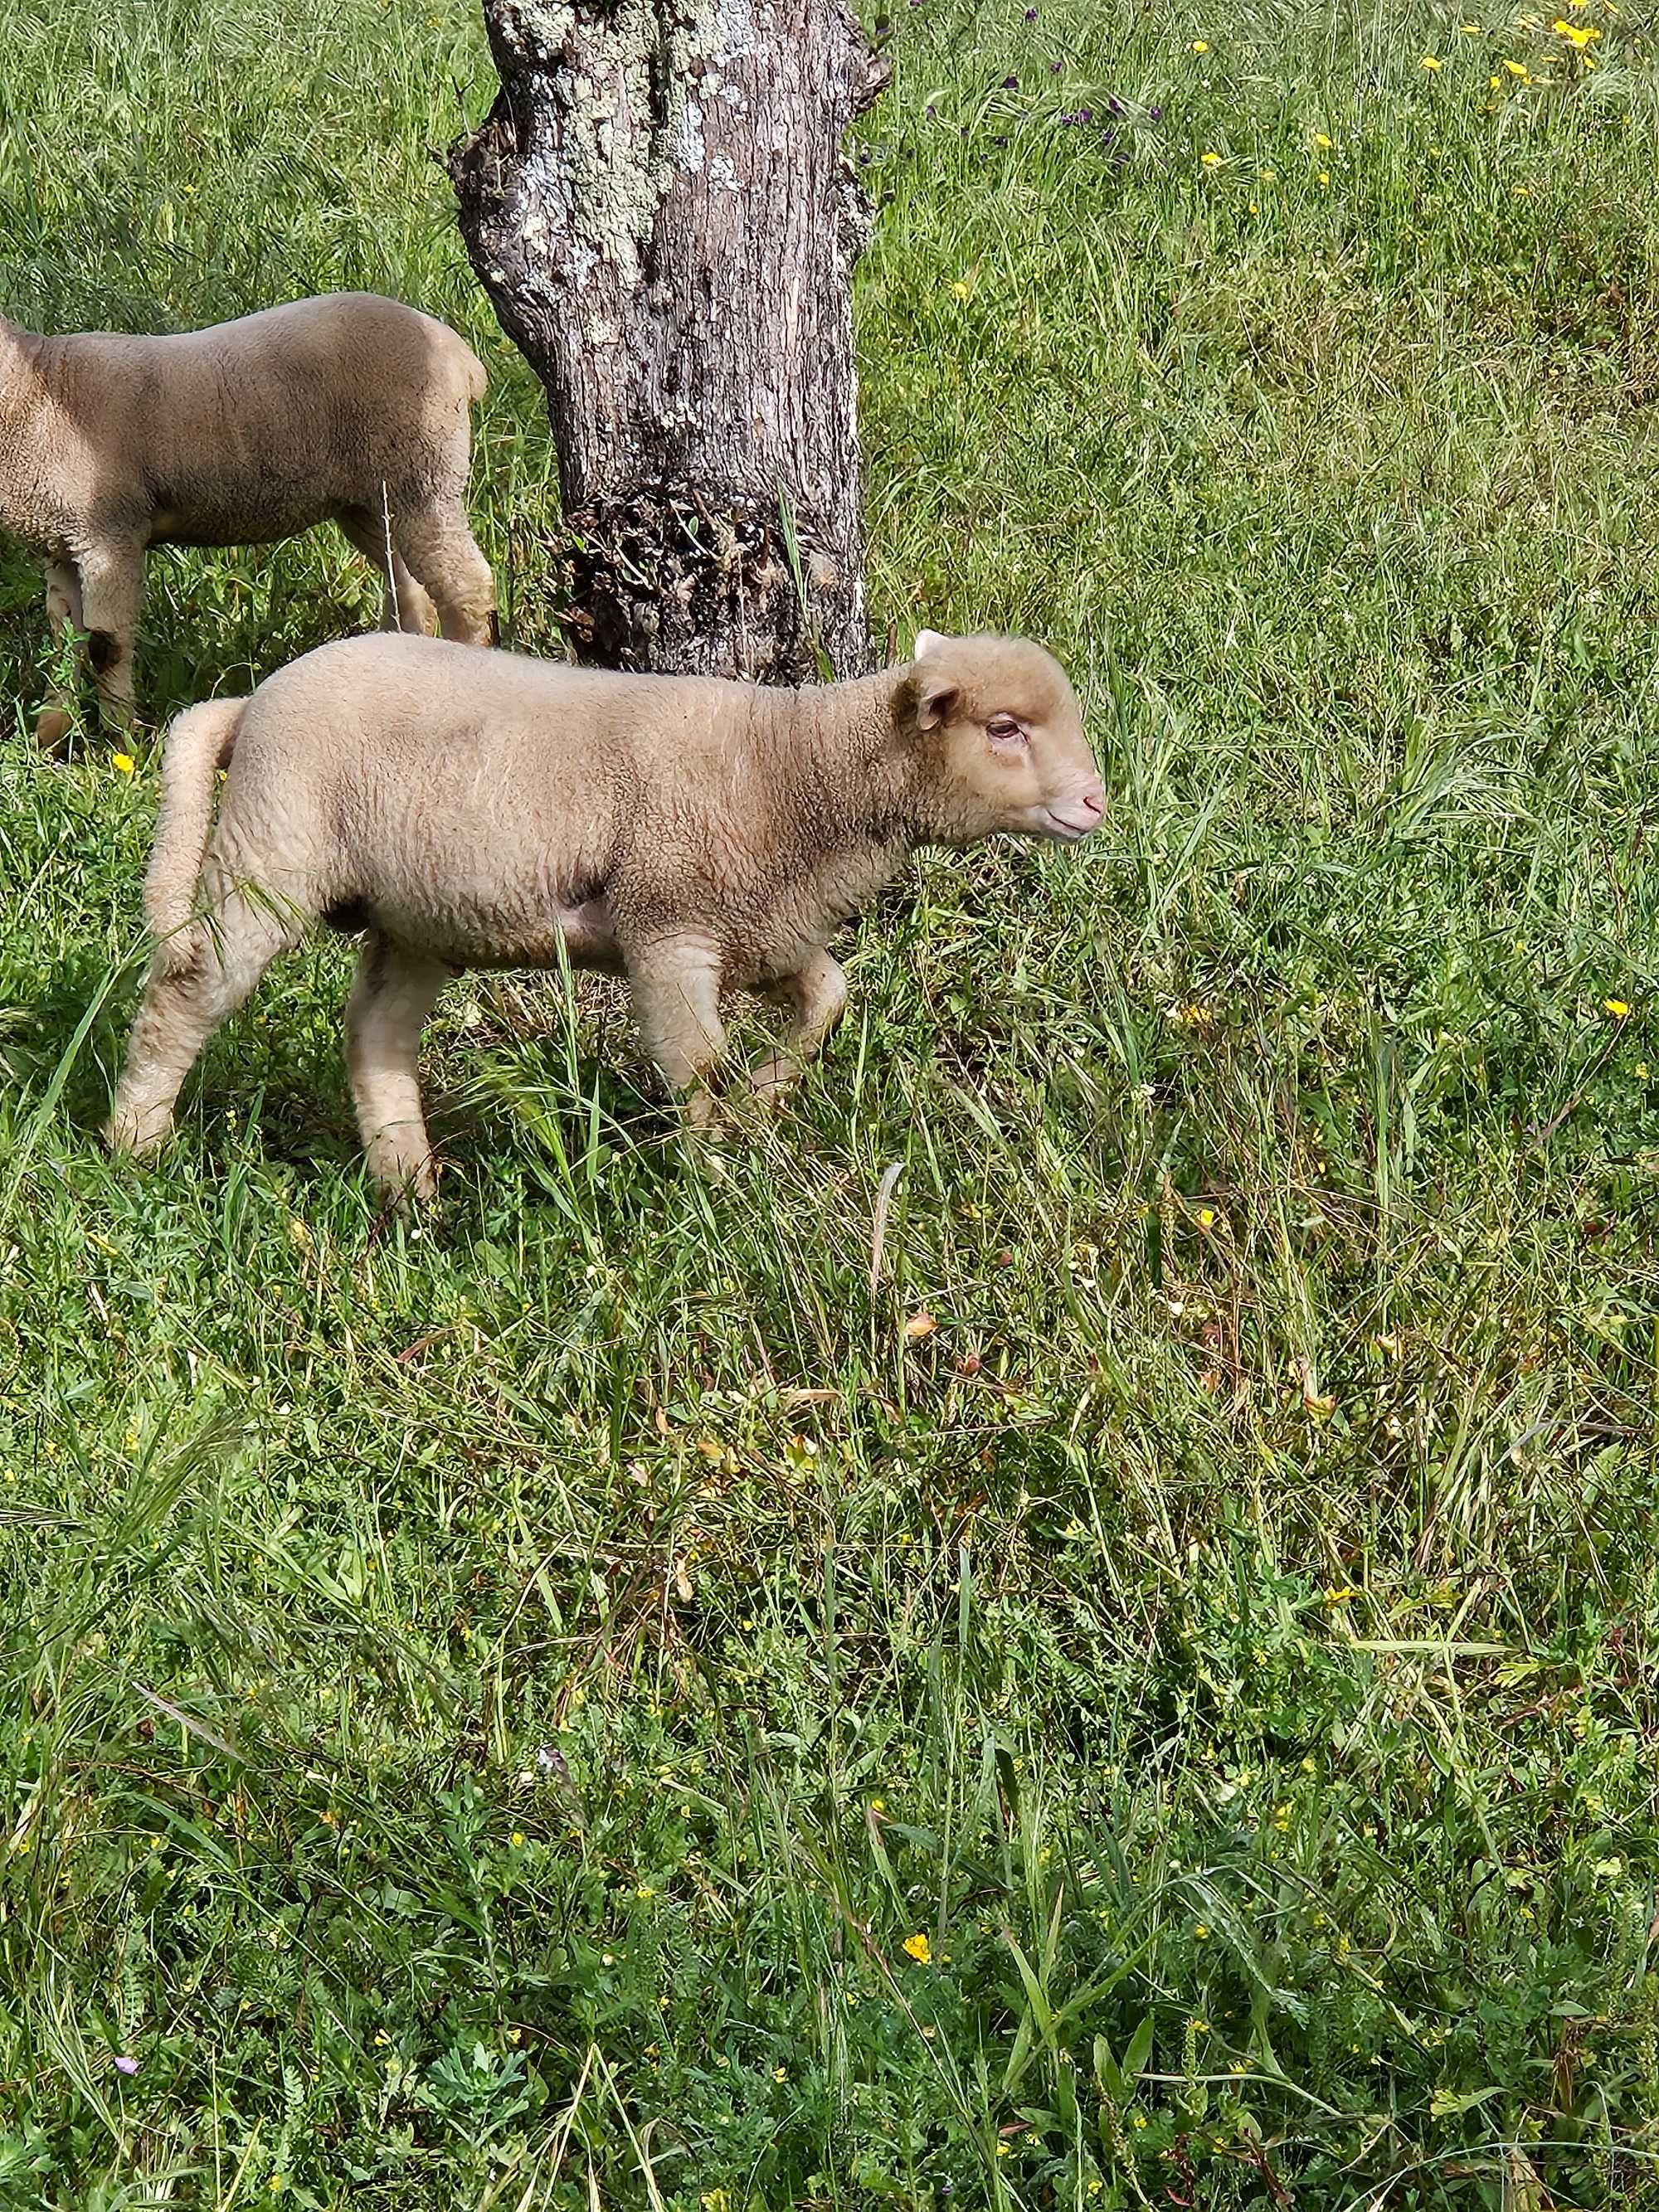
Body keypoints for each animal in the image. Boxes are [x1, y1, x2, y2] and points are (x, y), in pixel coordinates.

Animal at [0, 292, 498, 751]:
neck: (35, 391)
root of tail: (461, 357)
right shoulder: (62, 543)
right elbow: (65, 642)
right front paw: (49, 737)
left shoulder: (110, 533)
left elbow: (106, 645)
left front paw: (120, 744)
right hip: (373, 499)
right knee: (408, 589)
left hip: (425, 471)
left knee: (466, 586)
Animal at [110, 624, 1110, 1203]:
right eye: (1004, 729)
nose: (1098, 803)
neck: (801, 770)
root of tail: (250, 701)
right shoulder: (668, 927)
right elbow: (695, 1062)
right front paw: (714, 1179)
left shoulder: (762, 927)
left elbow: (828, 1000)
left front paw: (758, 1107)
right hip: (273, 847)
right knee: (186, 990)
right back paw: (134, 1146)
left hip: (417, 912)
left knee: (374, 1035)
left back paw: (410, 1190)